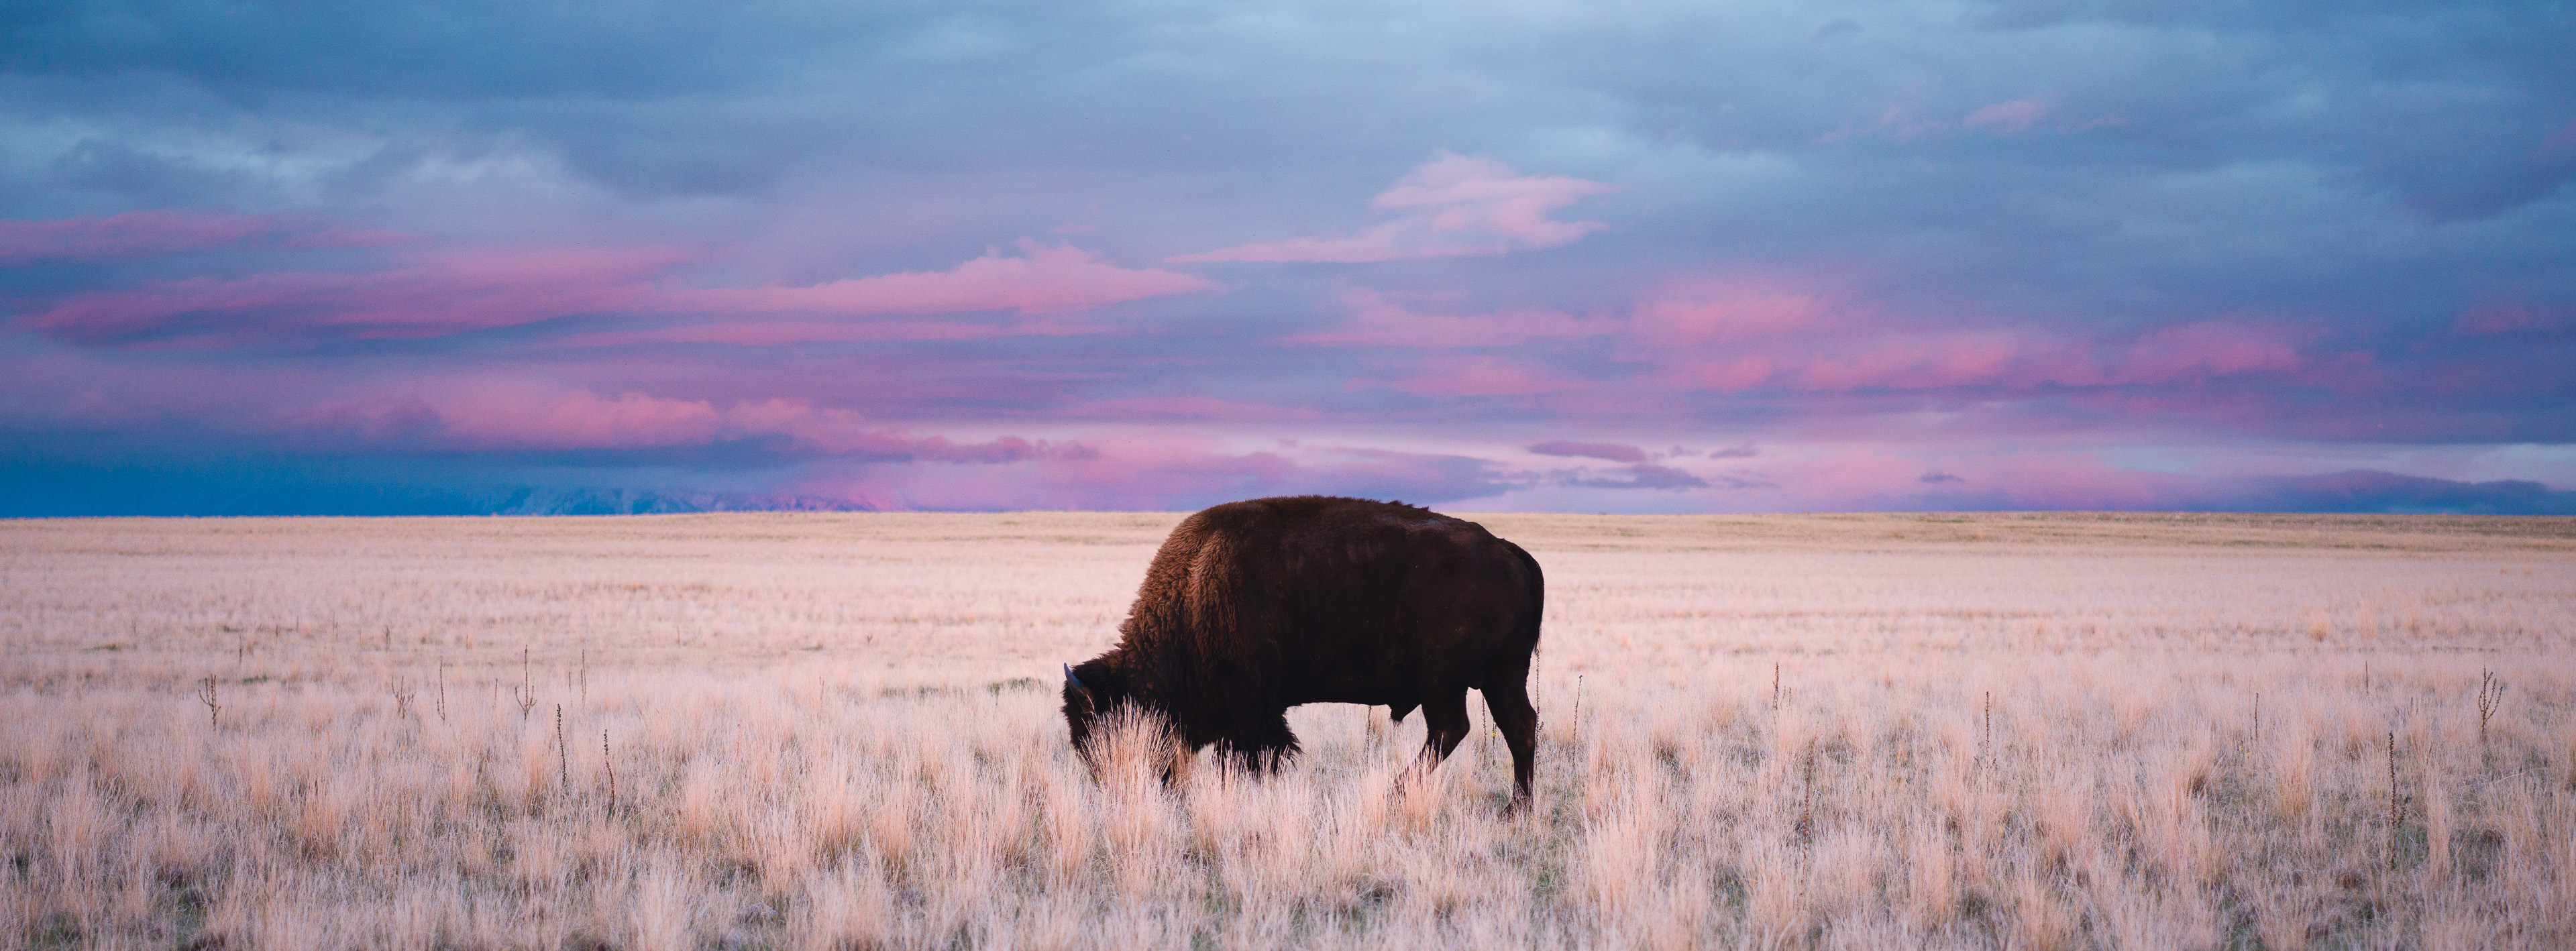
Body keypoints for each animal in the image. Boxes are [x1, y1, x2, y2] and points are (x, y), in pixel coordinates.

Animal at [1062, 495, 1545, 808]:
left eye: (1103, 730)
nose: (1115, 792)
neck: (1195, 589)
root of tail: (1509, 551)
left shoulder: (1250, 705)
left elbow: (1254, 756)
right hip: (1502, 673)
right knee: (1518, 725)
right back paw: (1517, 808)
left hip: (1444, 679)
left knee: (1451, 730)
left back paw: (1394, 794)